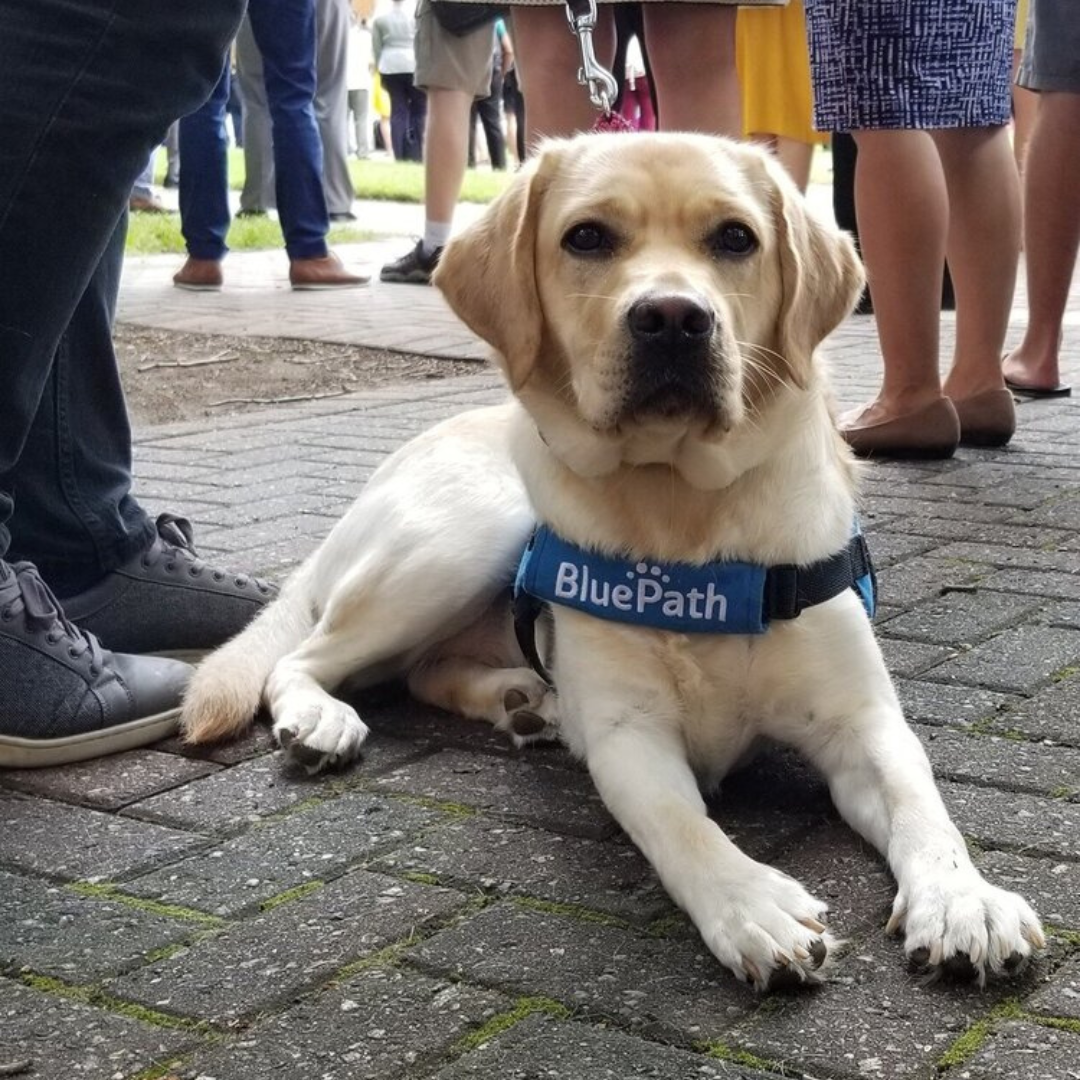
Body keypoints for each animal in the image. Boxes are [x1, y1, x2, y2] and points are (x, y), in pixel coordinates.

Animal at [181, 132, 1041, 989]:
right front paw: (749, 903)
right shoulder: (631, 736)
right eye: (587, 237)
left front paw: (963, 898)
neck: (682, 514)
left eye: (736, 238)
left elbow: (921, 801)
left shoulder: (861, 719)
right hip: (462, 540)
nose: (672, 318)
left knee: (421, 670)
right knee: (302, 658)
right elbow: (680, 824)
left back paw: (522, 701)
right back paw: (326, 717)